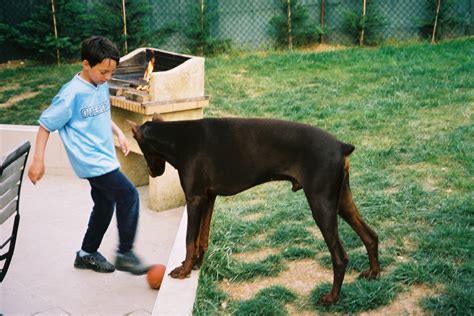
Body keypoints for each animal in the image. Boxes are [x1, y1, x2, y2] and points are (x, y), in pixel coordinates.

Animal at [131, 113, 382, 304]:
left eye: (141, 148)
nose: (154, 173)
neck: (178, 138)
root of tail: (341, 146)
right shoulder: (208, 197)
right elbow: (202, 237)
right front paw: (196, 265)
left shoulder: (194, 199)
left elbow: (189, 240)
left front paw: (183, 270)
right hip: (341, 200)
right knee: (370, 235)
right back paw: (374, 273)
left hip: (321, 204)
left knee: (340, 256)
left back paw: (332, 298)